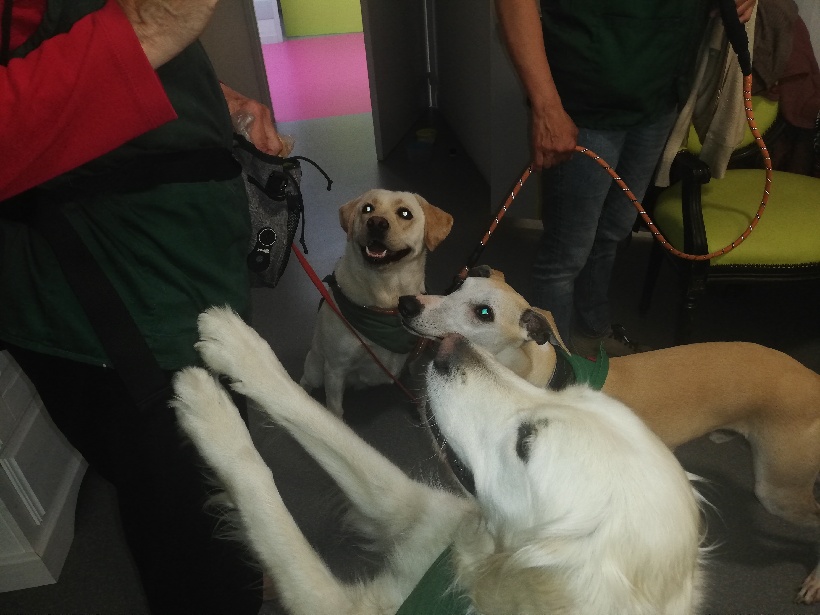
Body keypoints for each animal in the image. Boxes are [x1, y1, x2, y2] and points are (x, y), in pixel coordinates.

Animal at [173, 308, 704, 615]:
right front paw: (240, 349)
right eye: (568, 395)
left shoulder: (336, 602)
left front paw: (211, 414)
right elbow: (321, 421)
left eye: (525, 444)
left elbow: (271, 514)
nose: (449, 345)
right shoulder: (409, 506)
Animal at [302, 190, 452, 416]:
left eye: (405, 213)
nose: (376, 223)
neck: (385, 294)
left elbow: (421, 400)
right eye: (367, 208)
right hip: (316, 368)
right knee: (305, 380)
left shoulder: (419, 361)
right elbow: (335, 411)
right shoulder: (335, 369)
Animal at [398, 266, 820, 608]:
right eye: (456, 283)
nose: (406, 304)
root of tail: (812, 377)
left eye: (483, 312)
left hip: (779, 492)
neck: (542, 379)